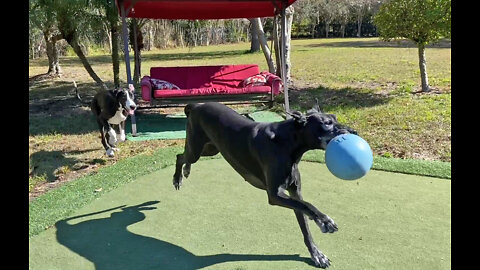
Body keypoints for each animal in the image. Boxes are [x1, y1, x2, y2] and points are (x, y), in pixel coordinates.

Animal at [172, 101, 356, 268]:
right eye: (327, 123)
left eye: (335, 118)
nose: (354, 131)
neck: (287, 143)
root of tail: (197, 105)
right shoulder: (275, 195)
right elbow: (307, 205)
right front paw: (324, 221)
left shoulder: (295, 192)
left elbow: (304, 221)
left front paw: (317, 254)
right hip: (197, 147)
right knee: (180, 156)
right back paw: (178, 177)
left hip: (211, 148)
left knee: (184, 156)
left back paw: (186, 170)